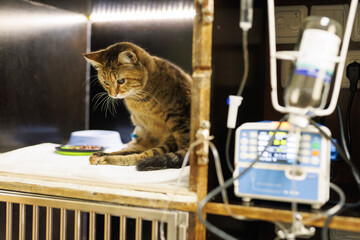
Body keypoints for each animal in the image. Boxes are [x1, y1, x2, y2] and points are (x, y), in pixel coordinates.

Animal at [83, 42, 193, 172]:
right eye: (106, 82)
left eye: (121, 81)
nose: (113, 94)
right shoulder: (144, 134)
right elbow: (131, 150)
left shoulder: (180, 120)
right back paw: (101, 156)